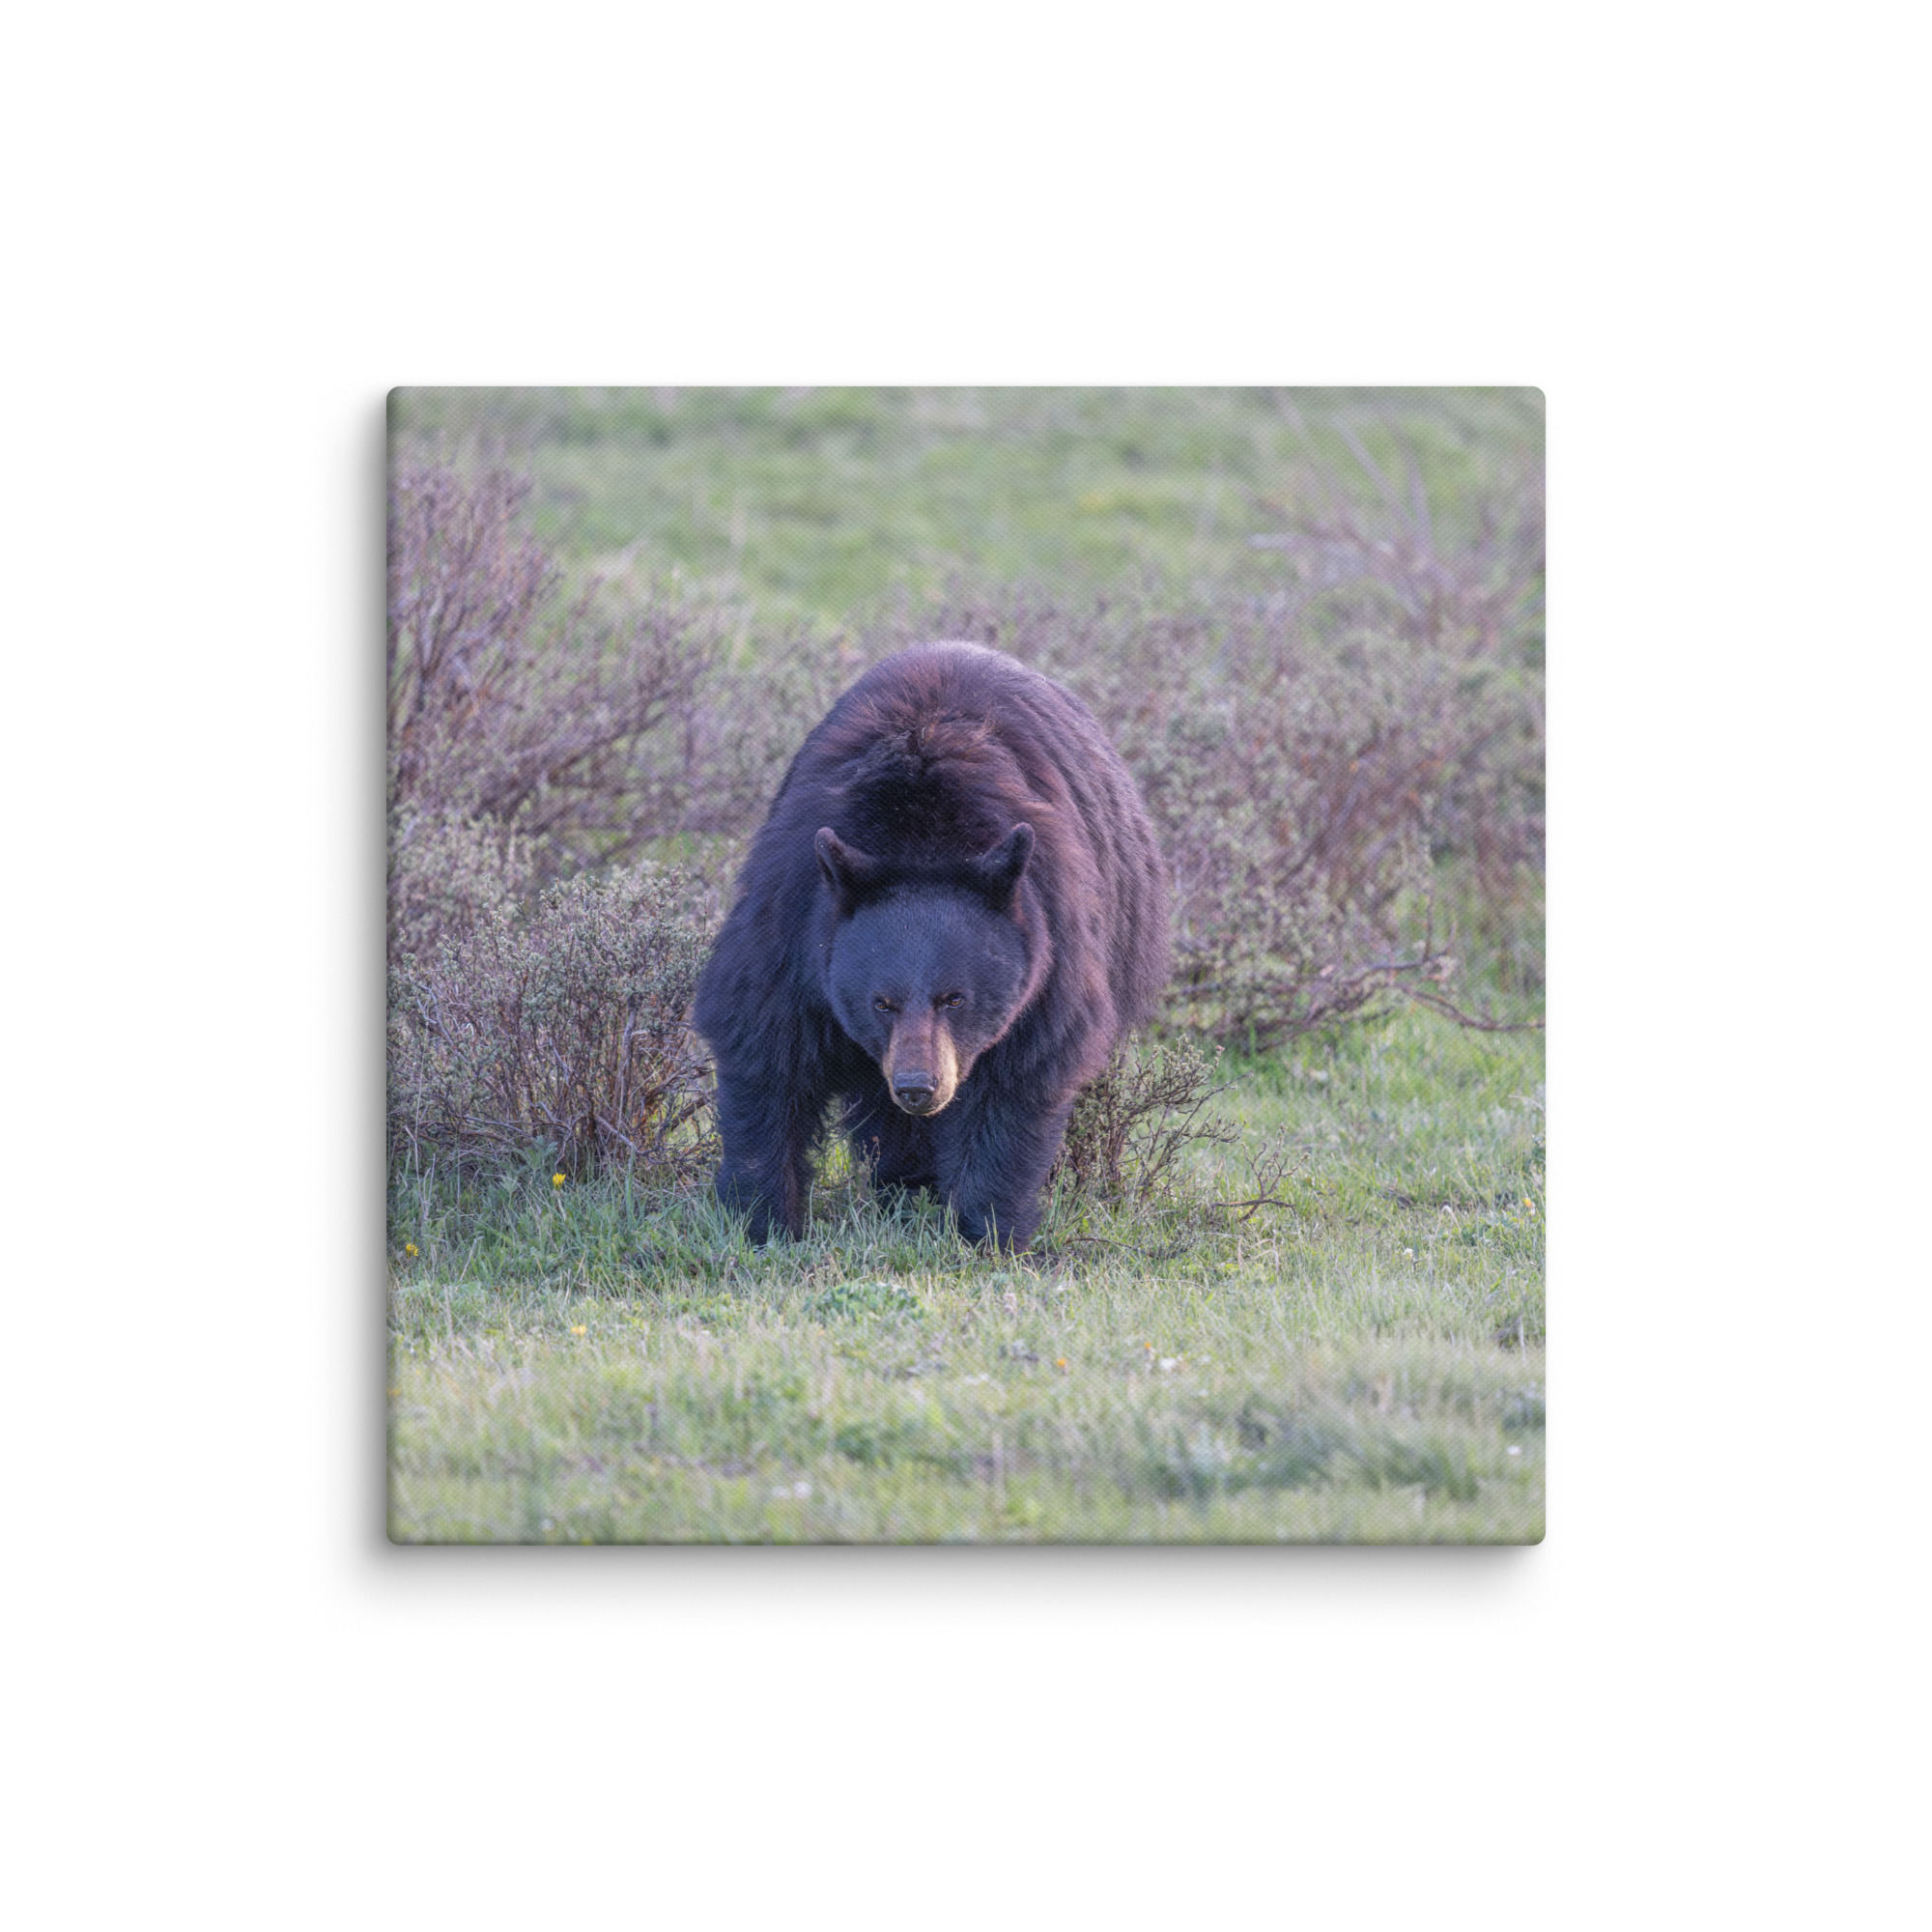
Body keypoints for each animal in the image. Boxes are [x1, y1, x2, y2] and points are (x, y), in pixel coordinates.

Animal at [692, 641, 1170, 1251]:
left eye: (955, 998)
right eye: (881, 1002)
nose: (919, 1087)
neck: (920, 836)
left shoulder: (1050, 945)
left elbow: (1016, 1081)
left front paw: (989, 1231)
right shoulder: (794, 922)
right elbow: (765, 1049)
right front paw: (763, 1220)